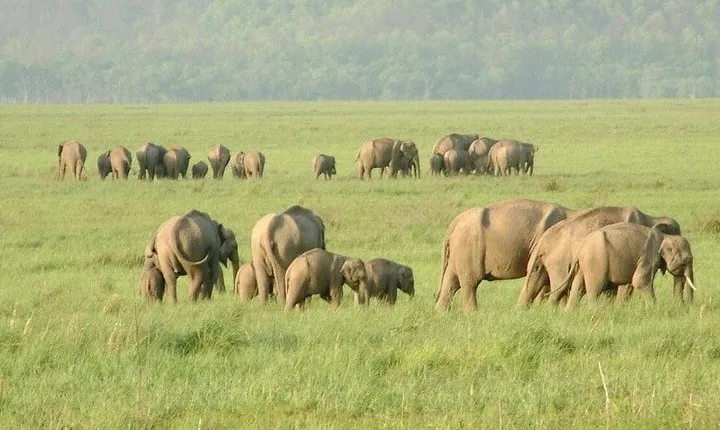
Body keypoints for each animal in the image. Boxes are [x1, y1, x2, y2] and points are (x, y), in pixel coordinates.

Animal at [435, 199, 577, 311]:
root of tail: (453, 224)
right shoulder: (541, 242)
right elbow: (536, 270)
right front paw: (522, 311)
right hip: (468, 249)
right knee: (470, 282)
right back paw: (472, 313)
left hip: (458, 252)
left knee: (451, 281)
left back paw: (441, 313)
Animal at [517, 206, 682, 306]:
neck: (652, 218)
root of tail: (542, 241)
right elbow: (626, 286)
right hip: (559, 262)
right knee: (559, 288)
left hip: (541, 262)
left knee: (531, 286)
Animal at [546, 223, 695, 309]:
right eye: (686, 260)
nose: (685, 306)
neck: (665, 236)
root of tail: (581, 247)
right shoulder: (648, 257)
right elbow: (639, 281)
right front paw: (654, 308)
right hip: (596, 262)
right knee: (595, 289)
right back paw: (594, 312)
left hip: (584, 266)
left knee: (578, 288)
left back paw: (569, 313)